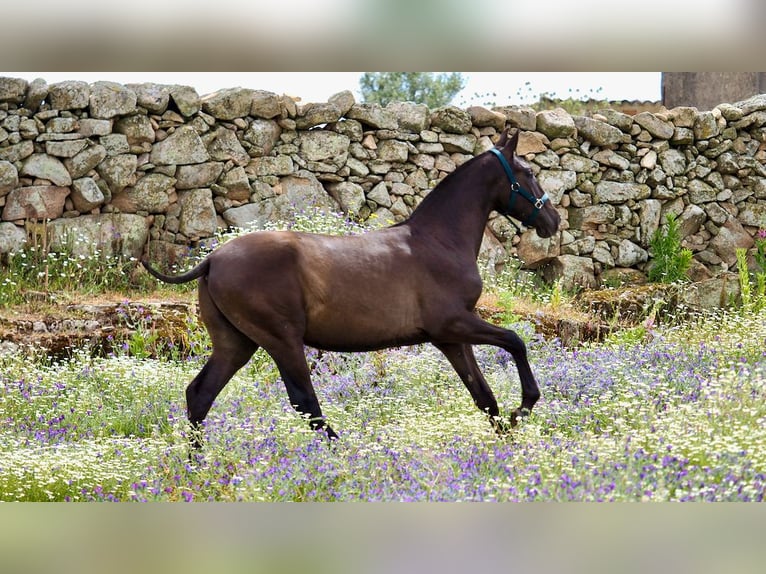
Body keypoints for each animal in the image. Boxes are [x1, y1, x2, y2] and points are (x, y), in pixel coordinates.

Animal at [144, 128, 560, 448]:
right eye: (527, 172)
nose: (553, 221)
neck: (438, 241)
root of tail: (213, 260)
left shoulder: (450, 338)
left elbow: (484, 396)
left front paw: (507, 442)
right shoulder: (454, 323)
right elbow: (515, 342)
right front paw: (523, 408)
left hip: (236, 344)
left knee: (200, 395)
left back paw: (196, 466)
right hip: (281, 340)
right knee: (306, 404)